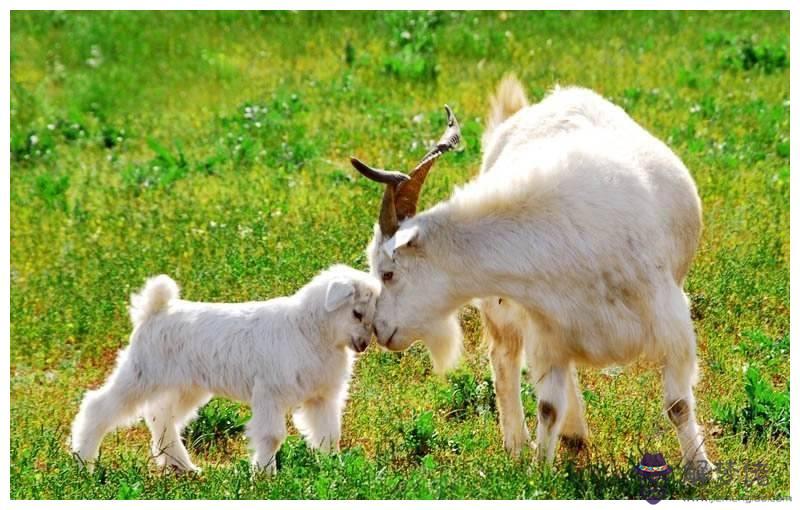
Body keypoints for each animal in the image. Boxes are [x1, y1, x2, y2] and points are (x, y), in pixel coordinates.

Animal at [354, 73, 708, 468]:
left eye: (388, 273)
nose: (378, 331)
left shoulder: (671, 322)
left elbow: (678, 404)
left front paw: (700, 469)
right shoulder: (547, 329)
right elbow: (548, 407)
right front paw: (540, 469)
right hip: (505, 311)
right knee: (504, 359)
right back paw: (522, 443)